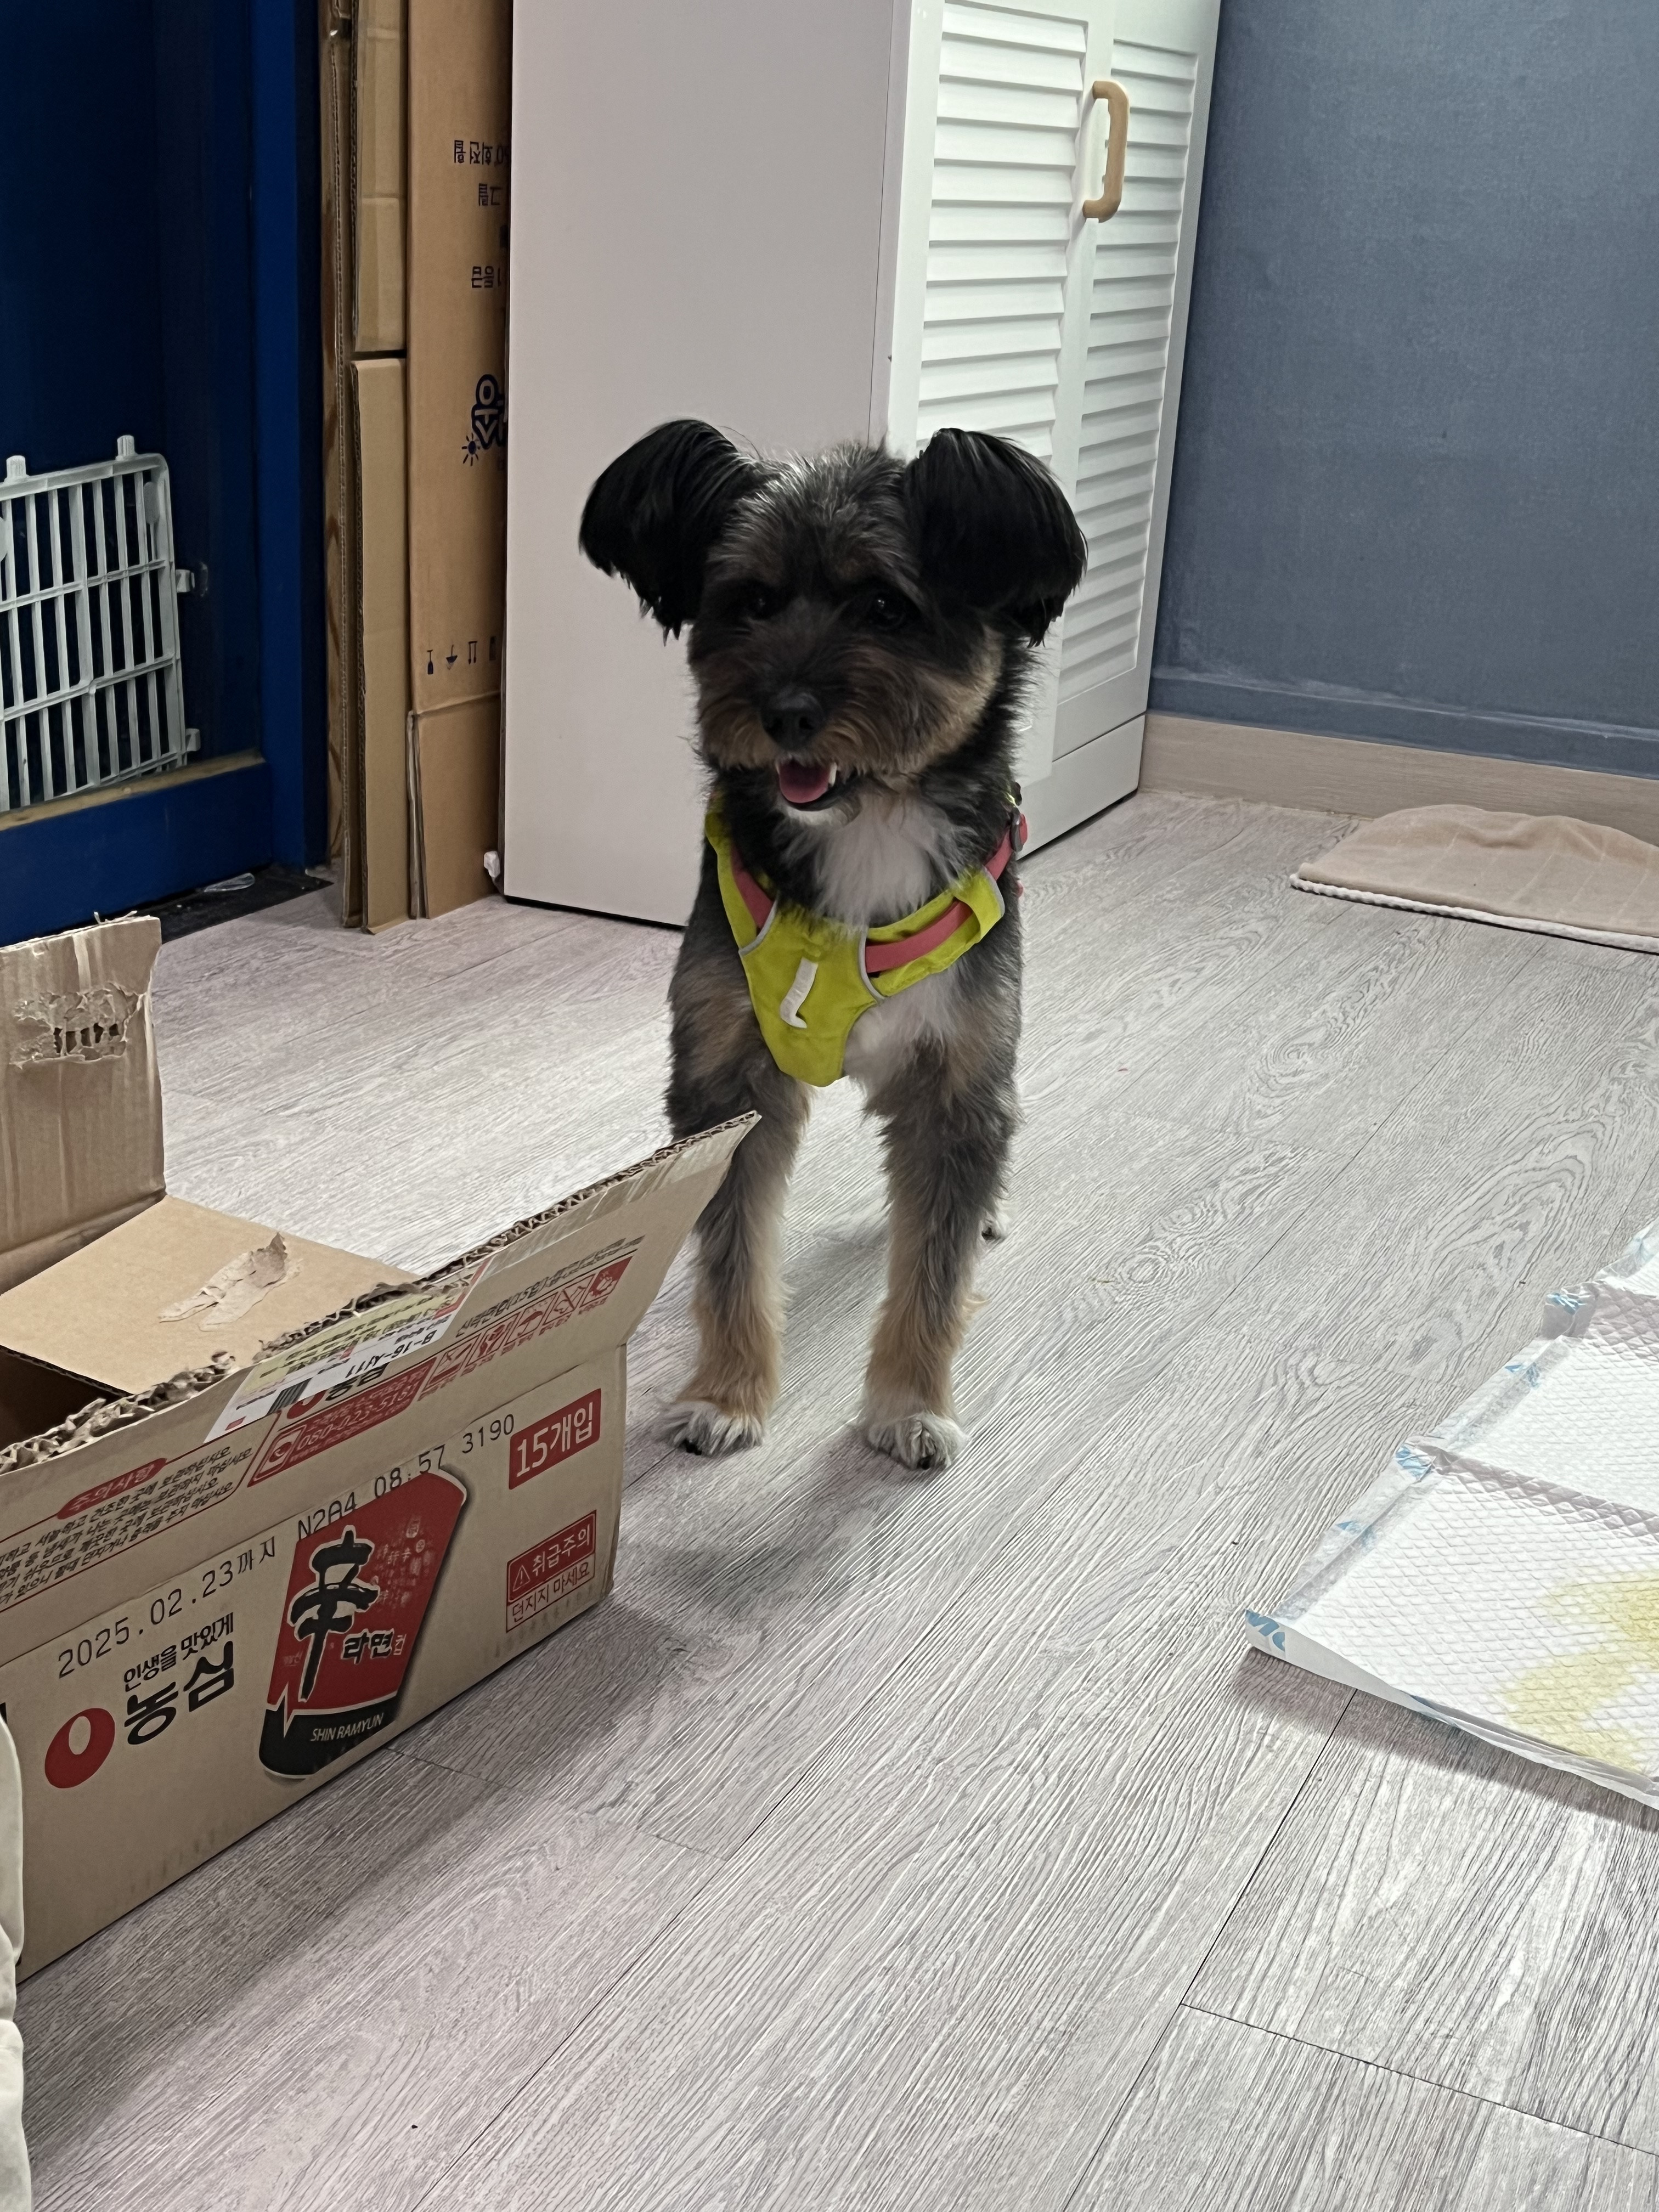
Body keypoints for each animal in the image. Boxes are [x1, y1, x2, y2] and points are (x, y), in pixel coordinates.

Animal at [579, 421, 1086, 1469]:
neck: (869, 823)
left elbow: (932, 1270)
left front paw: (909, 1405)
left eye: (888, 606)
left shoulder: (958, 1076)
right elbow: (733, 1250)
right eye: (751, 601)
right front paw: (726, 1392)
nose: (784, 712)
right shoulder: (726, 1075)